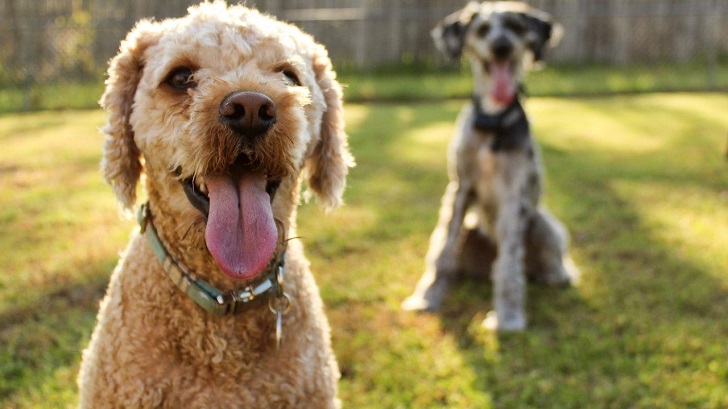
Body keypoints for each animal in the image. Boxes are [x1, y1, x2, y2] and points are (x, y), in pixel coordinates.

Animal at [402, 1, 577, 331]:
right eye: (482, 29)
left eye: (515, 26)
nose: (501, 47)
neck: (493, 120)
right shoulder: (459, 189)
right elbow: (442, 249)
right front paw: (427, 296)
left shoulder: (513, 196)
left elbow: (508, 263)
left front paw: (508, 317)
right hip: (471, 231)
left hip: (543, 224)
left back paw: (556, 275)